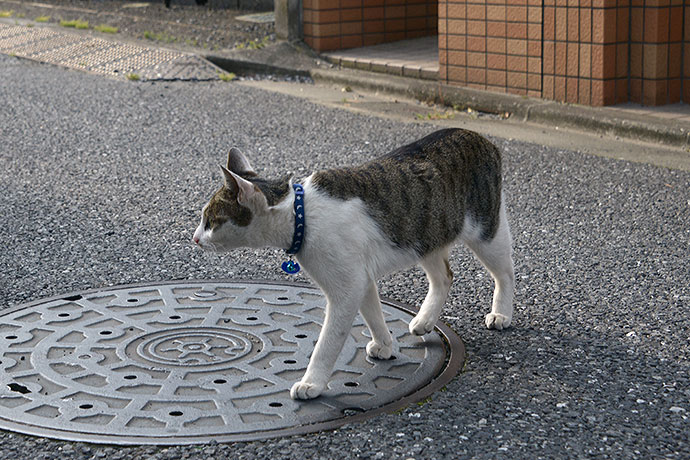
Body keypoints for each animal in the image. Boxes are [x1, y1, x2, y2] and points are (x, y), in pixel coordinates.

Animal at [191, 128, 512, 398]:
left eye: (210, 221)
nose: (194, 238)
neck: (301, 214)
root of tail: (479, 137)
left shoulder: (347, 287)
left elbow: (328, 343)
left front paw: (312, 383)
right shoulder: (361, 278)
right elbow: (373, 314)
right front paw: (384, 345)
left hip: (485, 231)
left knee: (506, 273)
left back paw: (501, 314)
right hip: (425, 236)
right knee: (444, 277)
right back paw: (425, 320)